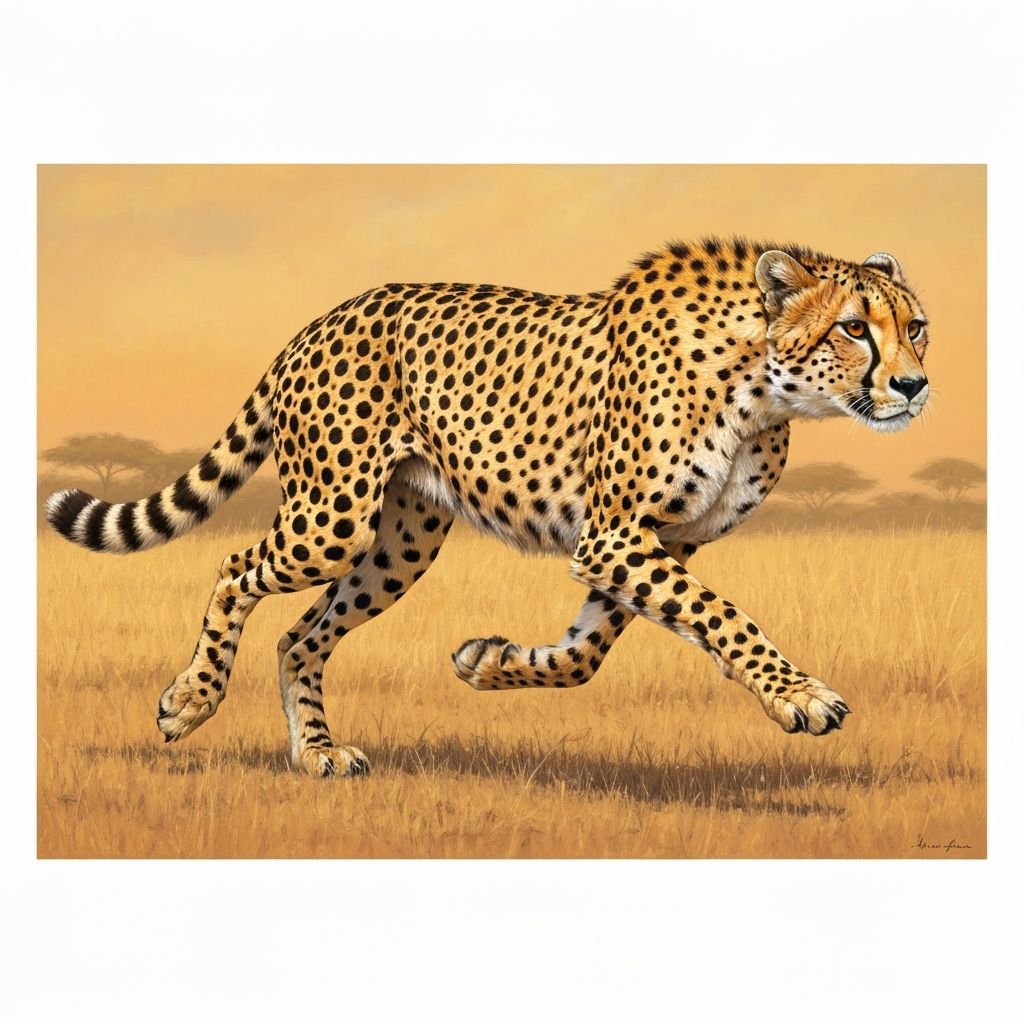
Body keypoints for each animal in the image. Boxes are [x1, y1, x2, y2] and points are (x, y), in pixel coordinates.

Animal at [44, 237, 930, 778]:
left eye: (917, 327)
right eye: (855, 328)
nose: (915, 385)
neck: (762, 383)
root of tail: (327, 315)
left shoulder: (658, 542)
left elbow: (588, 652)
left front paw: (490, 661)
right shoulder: (617, 537)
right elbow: (722, 616)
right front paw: (800, 697)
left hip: (400, 540)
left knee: (301, 634)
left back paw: (317, 753)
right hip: (331, 519)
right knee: (234, 568)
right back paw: (191, 700)